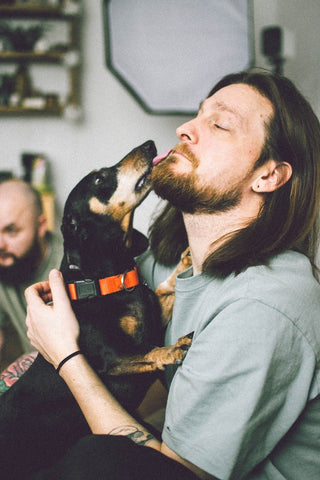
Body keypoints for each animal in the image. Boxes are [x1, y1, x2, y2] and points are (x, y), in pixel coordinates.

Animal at [0, 141, 191, 478]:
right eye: (101, 179)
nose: (149, 145)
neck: (113, 281)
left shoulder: (152, 321)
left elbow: (165, 293)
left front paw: (186, 261)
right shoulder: (111, 359)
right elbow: (150, 352)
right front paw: (173, 350)